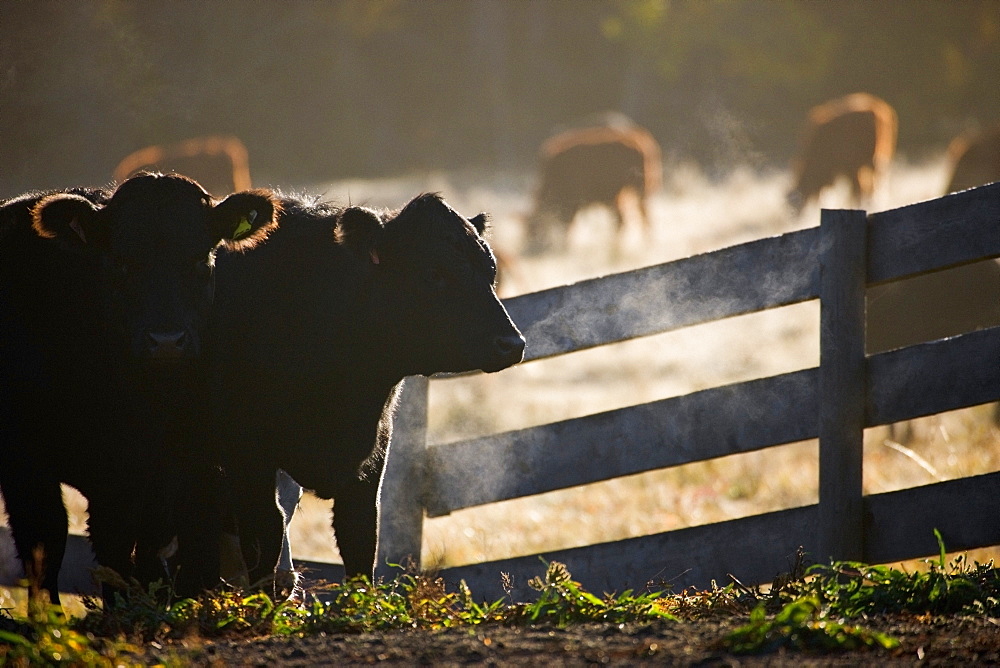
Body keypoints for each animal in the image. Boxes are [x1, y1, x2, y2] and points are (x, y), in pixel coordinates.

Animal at [0, 174, 278, 604]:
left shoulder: (178, 464)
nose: (166, 341)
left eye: (200, 260)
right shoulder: (28, 462)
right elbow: (52, 545)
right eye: (120, 263)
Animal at [208, 192, 528, 588]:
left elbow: (360, 542)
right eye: (433, 274)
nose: (511, 344)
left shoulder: (371, 460)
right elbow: (265, 536)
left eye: (491, 272)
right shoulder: (248, 457)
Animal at [524, 123, 664, 253]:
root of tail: (639, 138)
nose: (530, 250)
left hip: (638, 190)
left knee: (638, 217)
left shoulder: (574, 203)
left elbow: (568, 225)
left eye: (535, 229)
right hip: (624, 194)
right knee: (627, 218)